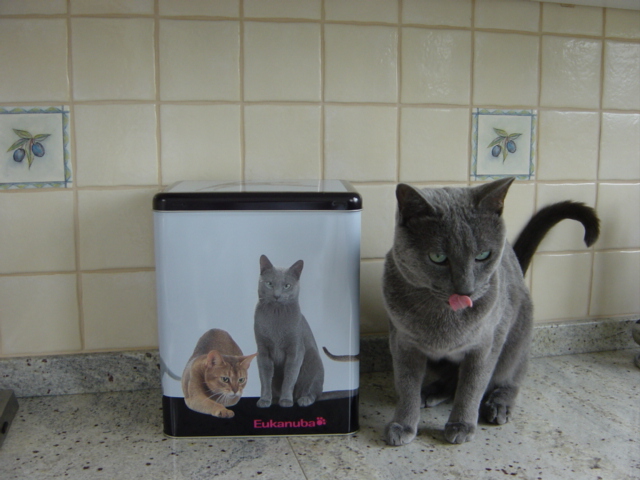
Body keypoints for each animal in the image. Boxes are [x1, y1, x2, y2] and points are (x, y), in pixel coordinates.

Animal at [254, 255, 325, 408]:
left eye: (287, 286)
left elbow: (290, 377)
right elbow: (264, 378)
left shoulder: (296, 349)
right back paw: (275, 398)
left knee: (314, 391)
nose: (277, 295)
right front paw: (265, 400)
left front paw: (286, 400)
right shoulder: (262, 350)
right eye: (269, 284)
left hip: (313, 361)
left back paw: (304, 399)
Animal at [382, 177, 599, 446]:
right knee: (452, 378)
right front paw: (402, 425)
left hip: (516, 337)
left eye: (483, 255)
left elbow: (473, 386)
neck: (445, 319)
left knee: (512, 376)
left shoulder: (486, 343)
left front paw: (462, 424)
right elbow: (407, 386)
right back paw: (432, 392)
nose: (466, 289)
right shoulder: (402, 342)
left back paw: (498, 405)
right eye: (438, 257)